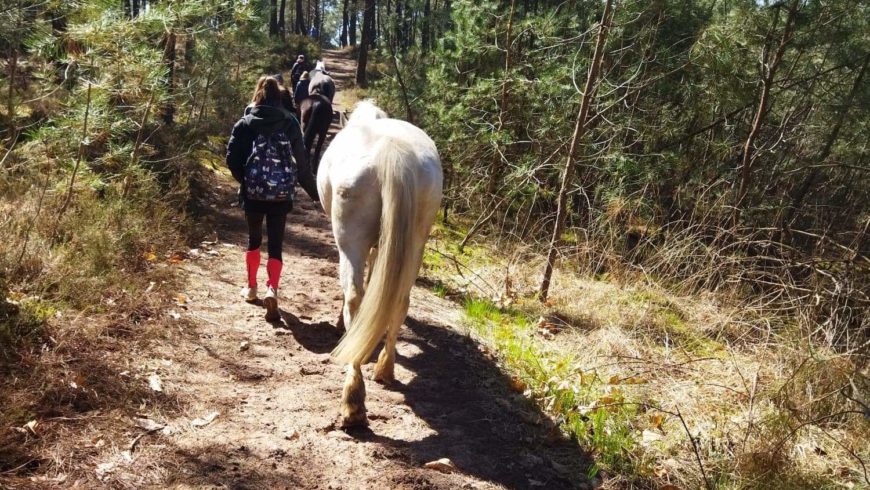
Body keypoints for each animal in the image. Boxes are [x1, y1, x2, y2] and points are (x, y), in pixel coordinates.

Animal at [318, 101, 442, 426]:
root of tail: (391, 151)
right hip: (415, 243)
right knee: (400, 300)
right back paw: (385, 369)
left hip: (350, 240)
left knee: (354, 297)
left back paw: (353, 400)